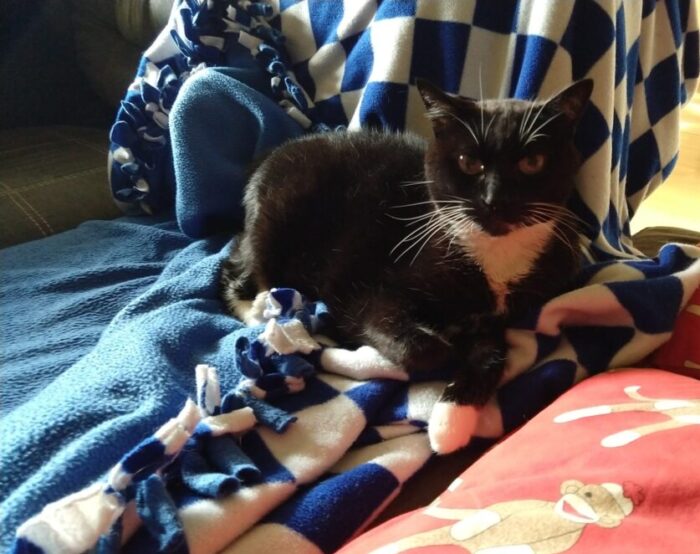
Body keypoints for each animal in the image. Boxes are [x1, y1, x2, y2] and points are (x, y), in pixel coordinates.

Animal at [221, 76, 592, 448]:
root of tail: (274, 152)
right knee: (239, 265)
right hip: (274, 222)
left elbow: (491, 352)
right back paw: (263, 312)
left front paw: (449, 422)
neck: (493, 256)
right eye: (469, 162)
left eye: (532, 162)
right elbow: (418, 346)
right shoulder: (373, 291)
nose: (494, 200)